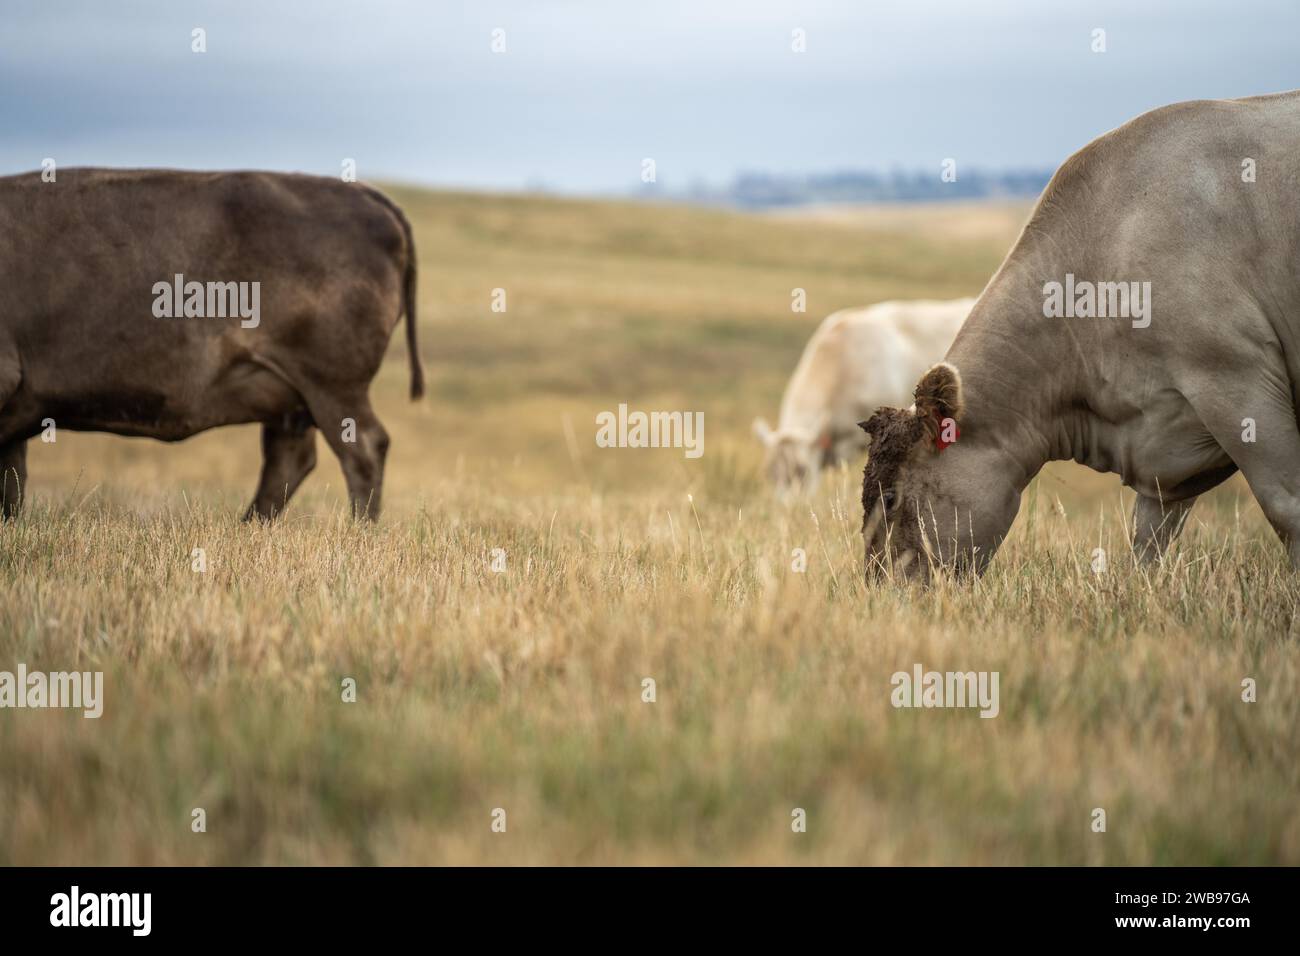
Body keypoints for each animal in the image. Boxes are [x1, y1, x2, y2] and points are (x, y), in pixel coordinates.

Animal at [0, 168, 424, 521]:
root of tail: (365, 194)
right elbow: (12, 483)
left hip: (331, 387)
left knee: (363, 449)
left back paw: (357, 532)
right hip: (291, 397)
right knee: (289, 459)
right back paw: (250, 528)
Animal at [859, 90, 1300, 581]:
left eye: (891, 498)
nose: (879, 588)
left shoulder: (1234, 377)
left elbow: (1286, 506)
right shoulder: (1165, 447)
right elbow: (1148, 540)